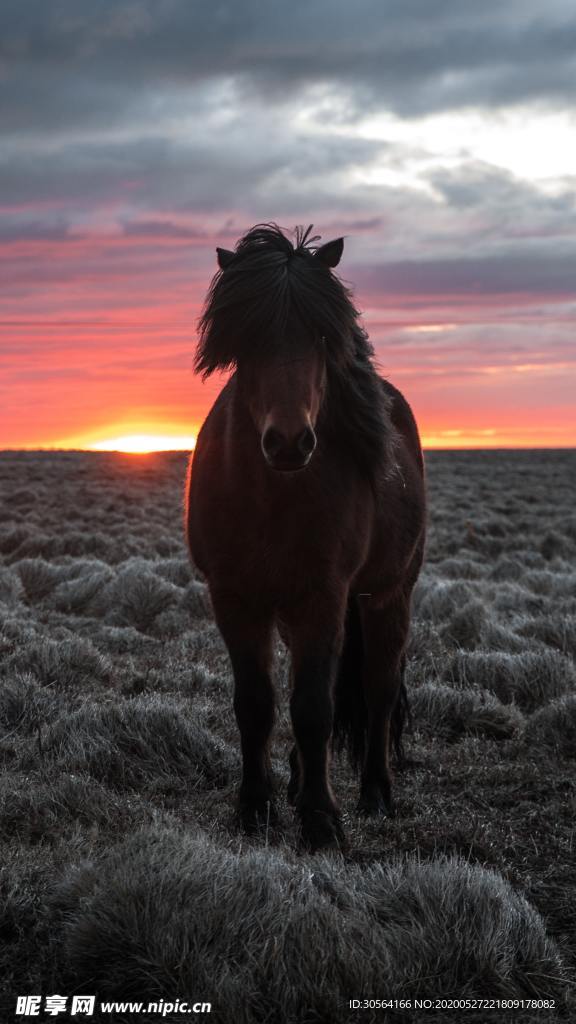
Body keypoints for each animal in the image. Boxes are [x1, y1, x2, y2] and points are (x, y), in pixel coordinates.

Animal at [186, 226, 424, 856]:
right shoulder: (235, 597)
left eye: (321, 335)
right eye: (247, 336)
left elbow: (315, 707)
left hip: (388, 596)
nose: (290, 441)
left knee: (378, 688)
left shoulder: (324, 596)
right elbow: (257, 704)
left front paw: (321, 821)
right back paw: (294, 782)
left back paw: (375, 794)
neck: (274, 495)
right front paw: (255, 808)